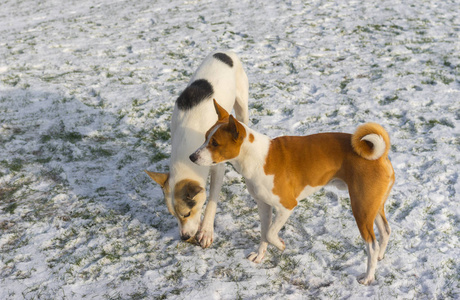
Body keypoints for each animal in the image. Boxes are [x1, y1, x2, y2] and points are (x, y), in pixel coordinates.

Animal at [146, 52, 248, 248]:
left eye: (186, 214)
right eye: (173, 215)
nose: (184, 237)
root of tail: (225, 52)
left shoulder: (217, 164)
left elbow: (211, 202)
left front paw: (206, 230)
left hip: (241, 103)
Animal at [190, 100, 396, 284]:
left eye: (215, 143)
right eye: (205, 137)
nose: (192, 157)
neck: (256, 158)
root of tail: (381, 156)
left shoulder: (287, 206)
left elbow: (270, 234)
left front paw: (281, 245)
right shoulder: (263, 205)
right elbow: (264, 233)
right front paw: (259, 255)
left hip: (361, 209)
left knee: (372, 244)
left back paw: (368, 277)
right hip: (372, 206)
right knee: (385, 231)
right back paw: (380, 257)